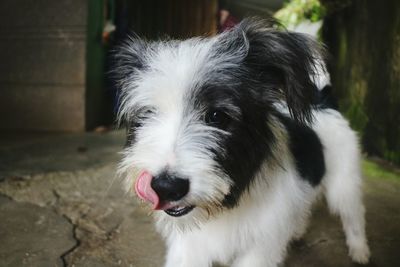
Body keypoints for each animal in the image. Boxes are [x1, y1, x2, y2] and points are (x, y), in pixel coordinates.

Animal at [111, 18, 370, 267]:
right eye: (147, 114)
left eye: (217, 116)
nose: (166, 186)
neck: (227, 205)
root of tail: (322, 101)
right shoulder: (188, 247)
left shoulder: (261, 248)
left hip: (344, 185)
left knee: (354, 214)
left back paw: (360, 251)